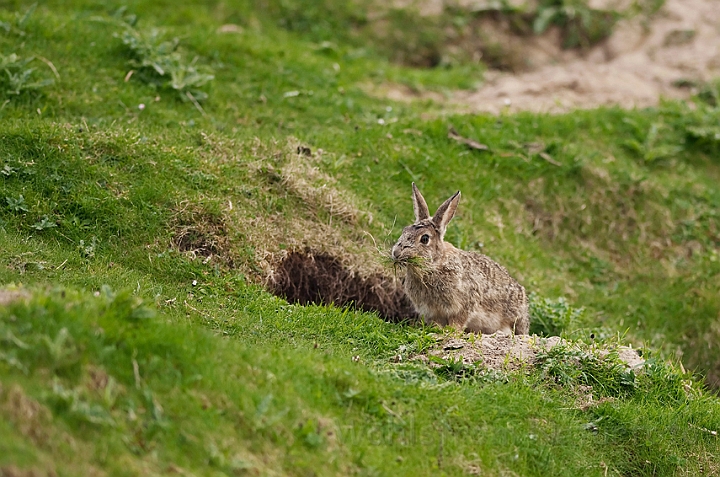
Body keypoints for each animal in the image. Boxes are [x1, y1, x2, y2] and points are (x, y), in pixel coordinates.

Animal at [394, 182, 528, 334]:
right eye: (404, 230)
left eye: (425, 238)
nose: (396, 252)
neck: (435, 265)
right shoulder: (432, 311)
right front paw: (436, 329)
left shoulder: (464, 304)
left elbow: (458, 320)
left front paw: (452, 330)